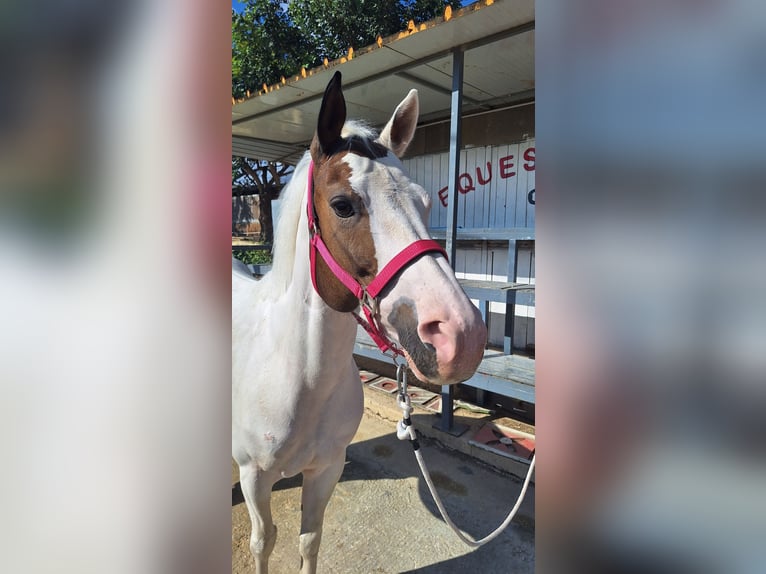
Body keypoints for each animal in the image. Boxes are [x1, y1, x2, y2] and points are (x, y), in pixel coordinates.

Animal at [232, 71, 487, 574]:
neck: (297, 379)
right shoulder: (254, 478)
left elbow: (309, 540)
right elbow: (262, 543)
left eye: (425, 202)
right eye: (343, 204)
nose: (462, 335)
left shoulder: (327, 469)